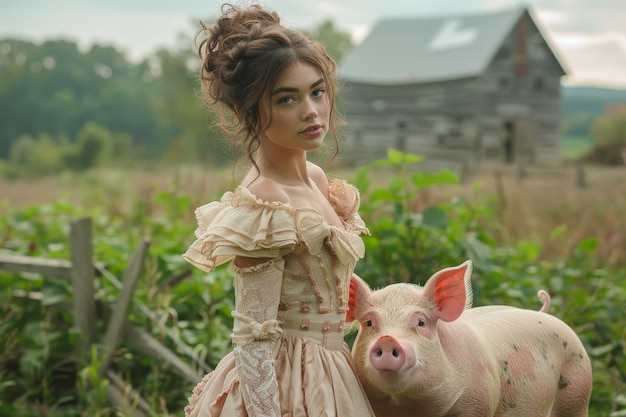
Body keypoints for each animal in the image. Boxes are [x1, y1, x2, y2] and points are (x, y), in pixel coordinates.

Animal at [346, 260, 588, 416]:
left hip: (577, 390)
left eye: (421, 322)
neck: (407, 407)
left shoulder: (479, 402)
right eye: (369, 323)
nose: (387, 339)